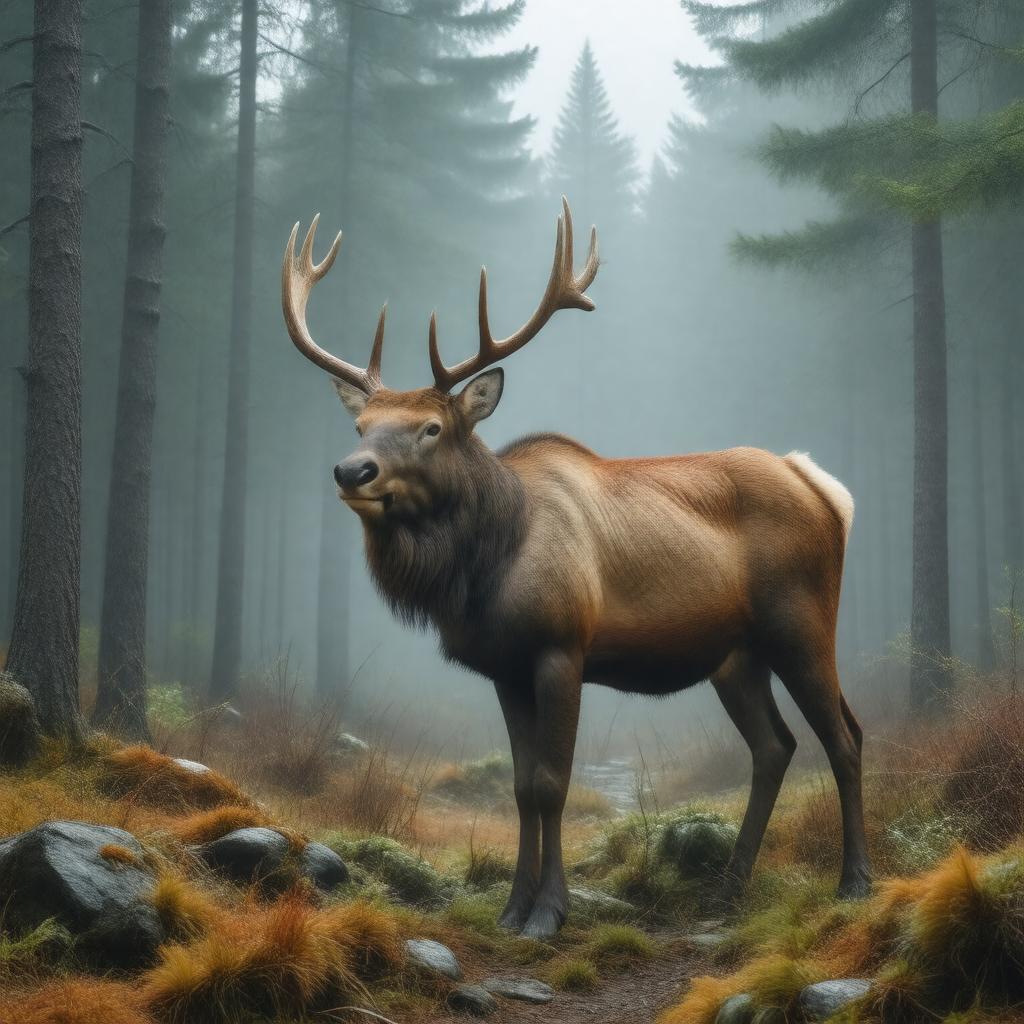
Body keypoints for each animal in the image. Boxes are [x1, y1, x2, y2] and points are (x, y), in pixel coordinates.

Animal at [281, 199, 872, 939]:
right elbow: (519, 786)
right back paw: (729, 888)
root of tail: (824, 488)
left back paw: (854, 882)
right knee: (775, 747)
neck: (484, 572)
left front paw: (548, 913)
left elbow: (551, 784)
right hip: (737, 655)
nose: (351, 471)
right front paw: (510, 909)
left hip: (802, 622)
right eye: (362, 426)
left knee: (845, 736)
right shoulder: (504, 667)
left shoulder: (563, 646)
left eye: (431, 428)